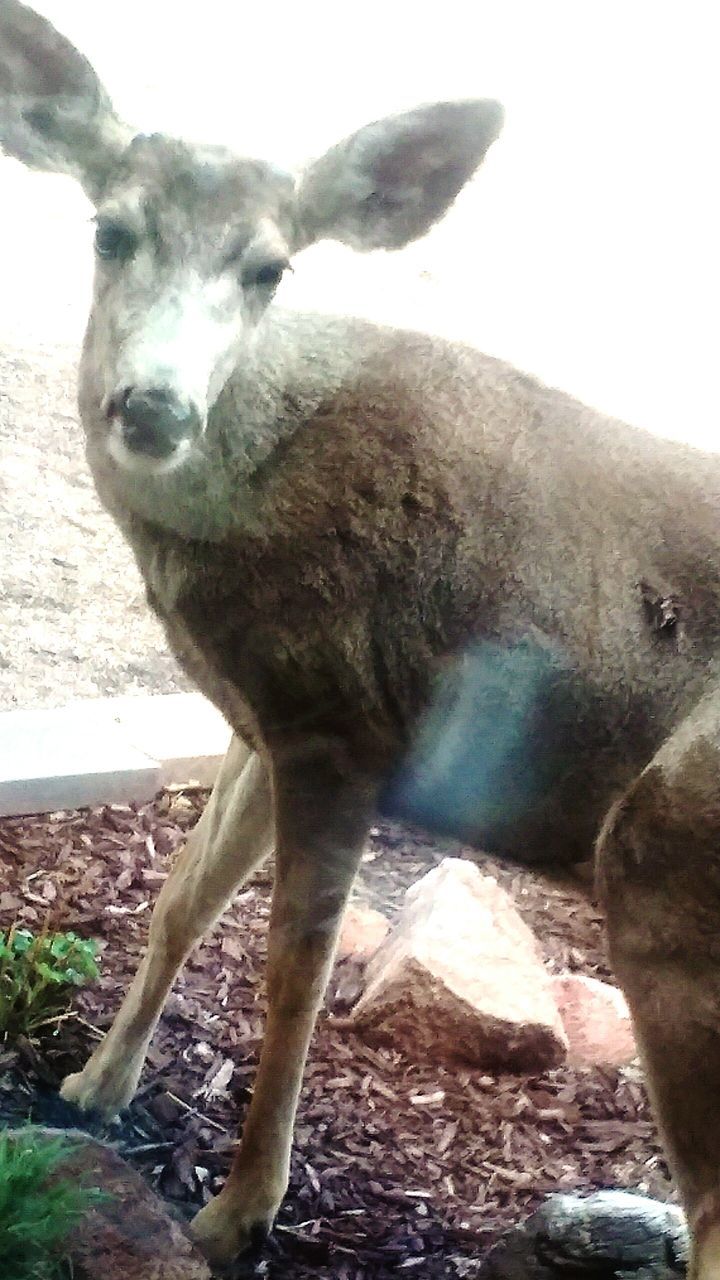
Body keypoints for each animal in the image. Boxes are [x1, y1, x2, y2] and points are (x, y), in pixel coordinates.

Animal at [1, 0, 717, 1274]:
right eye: (111, 229)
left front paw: (239, 1212)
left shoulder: (346, 724)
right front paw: (93, 1084)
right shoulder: (259, 713)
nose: (157, 405)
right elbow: (182, 897)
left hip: (669, 856)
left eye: (269, 266)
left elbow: (294, 966)